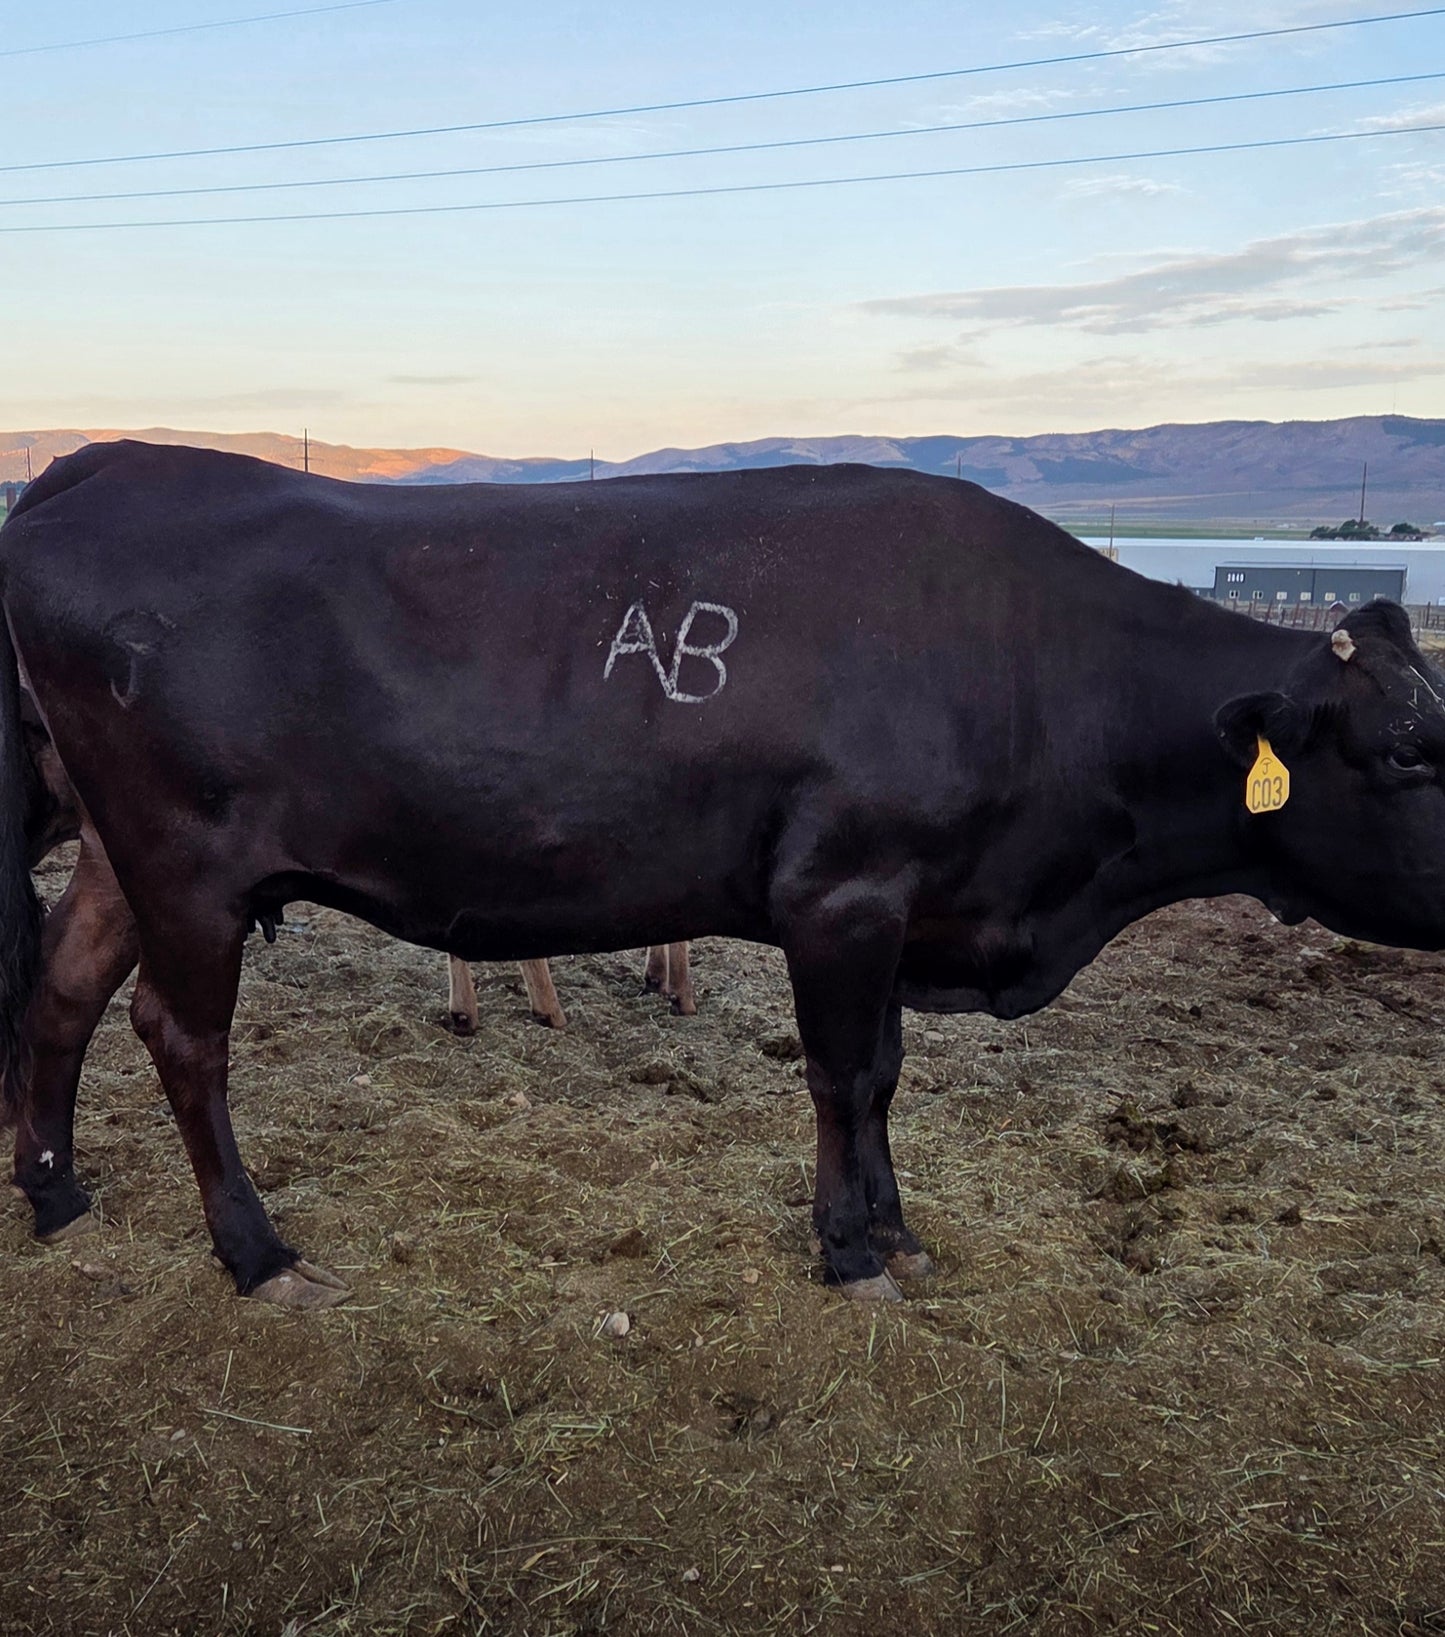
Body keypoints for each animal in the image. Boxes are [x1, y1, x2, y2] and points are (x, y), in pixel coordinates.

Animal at [4, 441, 1445, 1309]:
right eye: (1396, 754)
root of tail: (110, 461)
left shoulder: (893, 912)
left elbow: (881, 1073)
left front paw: (893, 1231)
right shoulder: (840, 897)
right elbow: (845, 1074)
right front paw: (851, 1248)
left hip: (122, 862)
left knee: (63, 993)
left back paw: (57, 1192)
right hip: (187, 863)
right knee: (178, 1036)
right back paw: (257, 1256)